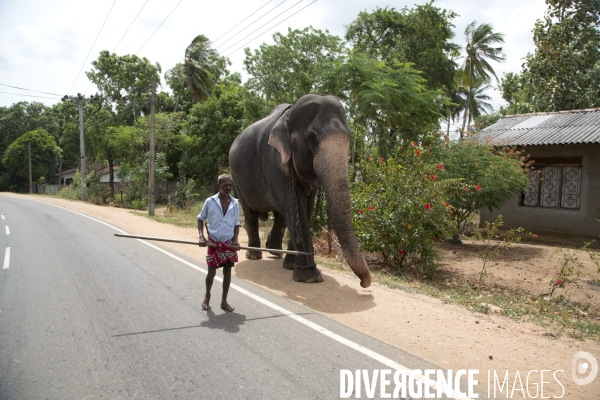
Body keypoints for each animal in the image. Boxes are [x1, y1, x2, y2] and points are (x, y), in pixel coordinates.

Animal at [229, 94, 370, 288]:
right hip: (236, 178)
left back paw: (275, 253)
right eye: (311, 137)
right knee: (250, 213)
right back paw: (255, 255)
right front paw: (309, 277)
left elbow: (306, 207)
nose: (364, 283)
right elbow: (294, 205)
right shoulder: (272, 161)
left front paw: (291, 267)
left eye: (348, 136)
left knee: (280, 215)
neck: (288, 116)